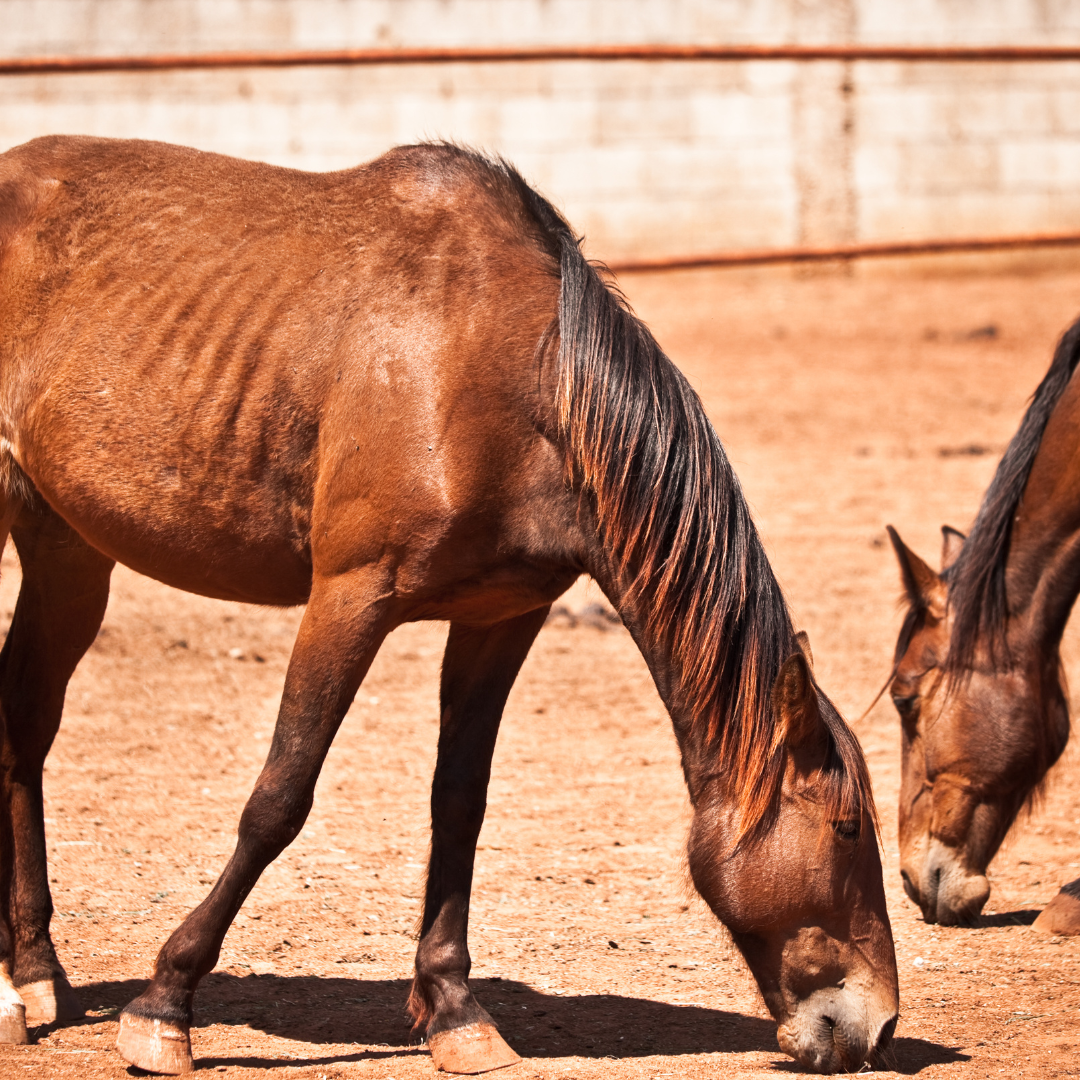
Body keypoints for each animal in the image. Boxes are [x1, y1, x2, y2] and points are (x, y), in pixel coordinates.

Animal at [0, 135, 898, 1075]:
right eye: (846, 830)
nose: (878, 1025)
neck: (509, 375)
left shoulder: (500, 618)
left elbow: (459, 803)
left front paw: (455, 1009)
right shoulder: (349, 598)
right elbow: (279, 798)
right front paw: (166, 1001)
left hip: (68, 548)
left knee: (23, 726)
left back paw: (34, 972)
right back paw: (14, 996)